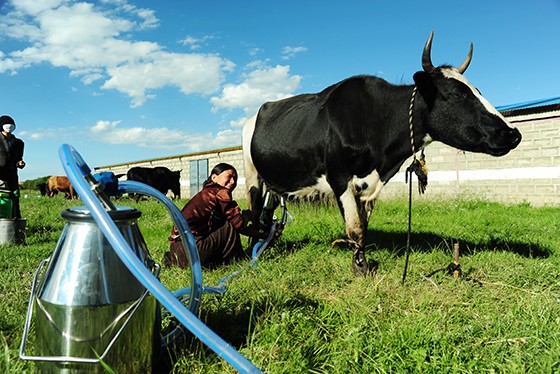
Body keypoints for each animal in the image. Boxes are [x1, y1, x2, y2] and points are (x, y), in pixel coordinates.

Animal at [243, 31, 524, 274]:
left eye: (478, 91)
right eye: (456, 94)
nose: (513, 133)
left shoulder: (370, 184)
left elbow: (363, 226)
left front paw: (361, 260)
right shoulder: (339, 177)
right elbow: (355, 227)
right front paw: (360, 269)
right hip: (252, 174)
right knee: (254, 213)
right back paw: (251, 252)